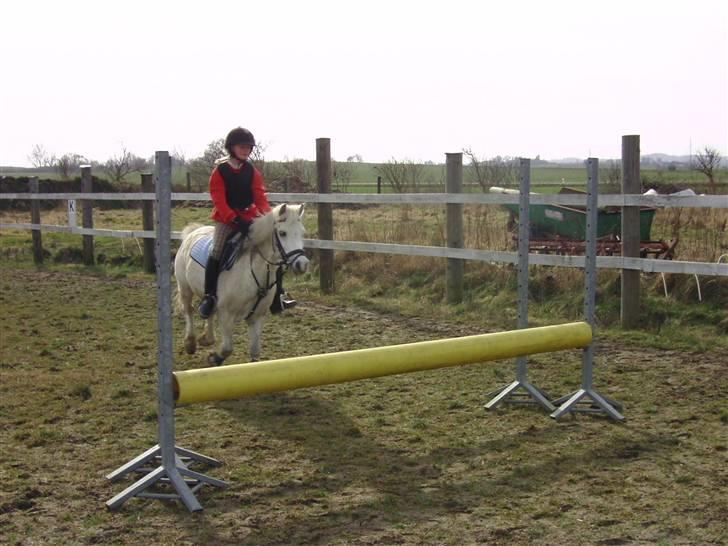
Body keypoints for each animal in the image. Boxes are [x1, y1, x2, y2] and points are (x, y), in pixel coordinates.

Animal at [175, 202, 308, 364]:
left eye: (302, 232)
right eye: (282, 233)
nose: (302, 264)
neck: (251, 272)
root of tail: (194, 231)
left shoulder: (257, 317)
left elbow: (255, 352)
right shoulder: (226, 315)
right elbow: (227, 348)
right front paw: (213, 358)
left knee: (208, 311)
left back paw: (207, 338)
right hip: (185, 287)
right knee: (188, 310)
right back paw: (190, 343)